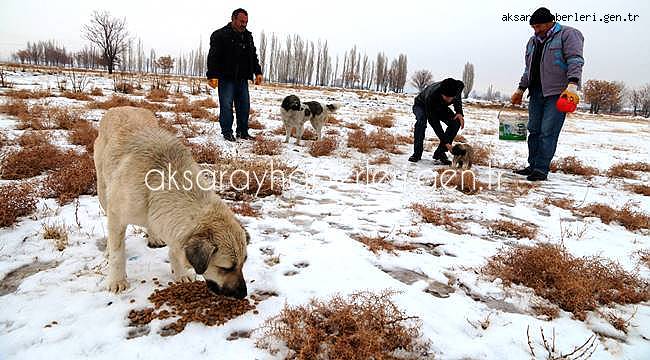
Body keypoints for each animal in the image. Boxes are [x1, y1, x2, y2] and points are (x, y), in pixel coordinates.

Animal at [93, 107, 248, 298]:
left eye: (243, 263)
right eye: (225, 268)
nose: (243, 294)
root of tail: (120, 107)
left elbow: (175, 250)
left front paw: (180, 273)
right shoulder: (117, 216)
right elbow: (117, 254)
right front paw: (117, 280)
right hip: (103, 193)